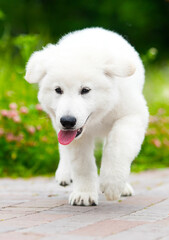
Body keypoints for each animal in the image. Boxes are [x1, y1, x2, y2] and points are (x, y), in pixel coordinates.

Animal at [24, 27, 149, 205]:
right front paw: (84, 194)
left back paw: (123, 186)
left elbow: (118, 146)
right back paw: (64, 173)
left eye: (85, 90)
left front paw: (112, 184)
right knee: (63, 147)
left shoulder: (132, 115)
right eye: (58, 90)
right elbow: (81, 164)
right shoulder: (75, 135)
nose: (67, 121)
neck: (99, 117)